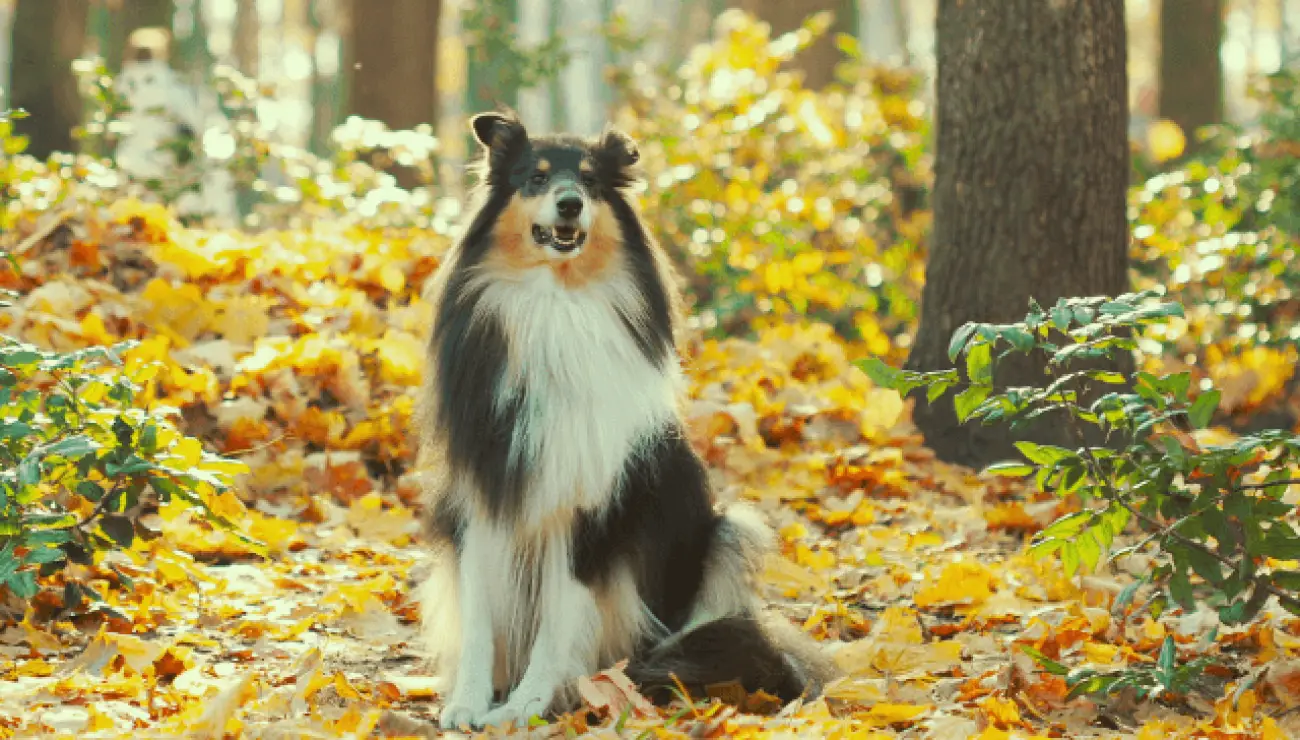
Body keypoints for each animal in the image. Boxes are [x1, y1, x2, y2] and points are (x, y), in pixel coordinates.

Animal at [416, 112, 826, 728]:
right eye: (535, 178)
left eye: (589, 180)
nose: (569, 204)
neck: (555, 302)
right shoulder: (484, 490)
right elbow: (479, 619)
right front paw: (468, 703)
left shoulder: (591, 507)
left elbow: (560, 618)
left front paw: (528, 705)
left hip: (731, 531)